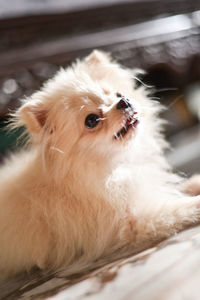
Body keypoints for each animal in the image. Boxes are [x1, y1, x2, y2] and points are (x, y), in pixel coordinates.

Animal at [0, 49, 200, 278]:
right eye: (91, 120)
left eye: (118, 94)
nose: (124, 101)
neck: (114, 164)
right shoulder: (132, 223)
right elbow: (179, 207)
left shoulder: (140, 188)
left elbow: (176, 188)